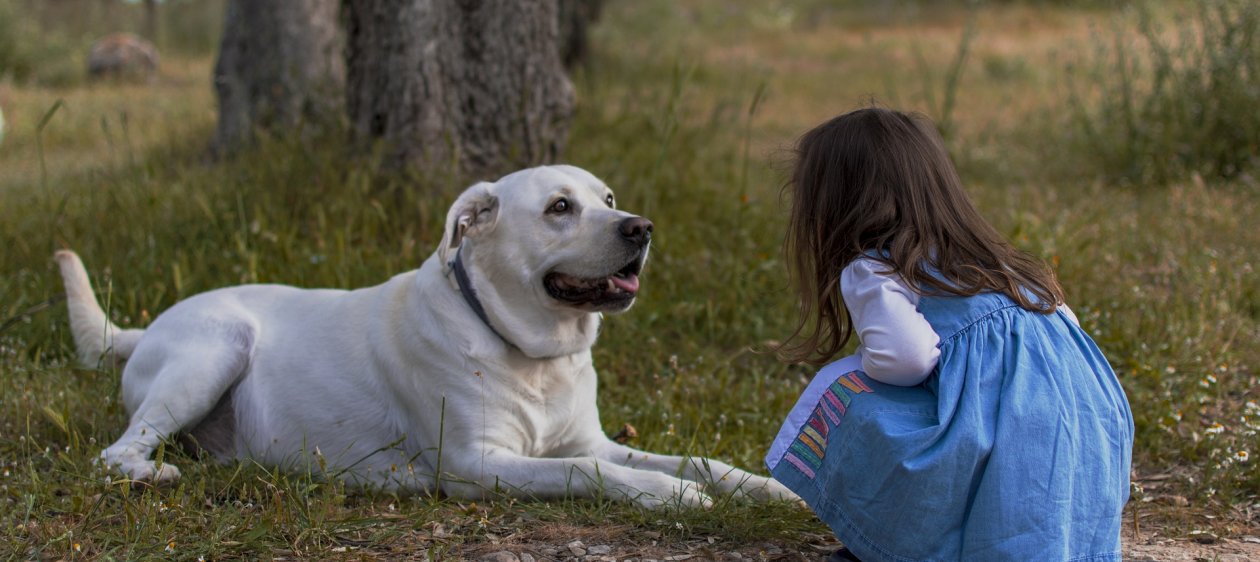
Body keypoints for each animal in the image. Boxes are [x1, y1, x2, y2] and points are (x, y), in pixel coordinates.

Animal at [56, 165, 796, 506]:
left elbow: (694, 459)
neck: (532, 354)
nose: (640, 228)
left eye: (608, 200)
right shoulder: (478, 464)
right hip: (215, 348)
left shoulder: (591, 439)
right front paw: (669, 496)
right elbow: (588, 472)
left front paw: (764, 487)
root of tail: (146, 327)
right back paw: (151, 473)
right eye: (559, 207)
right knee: (115, 453)